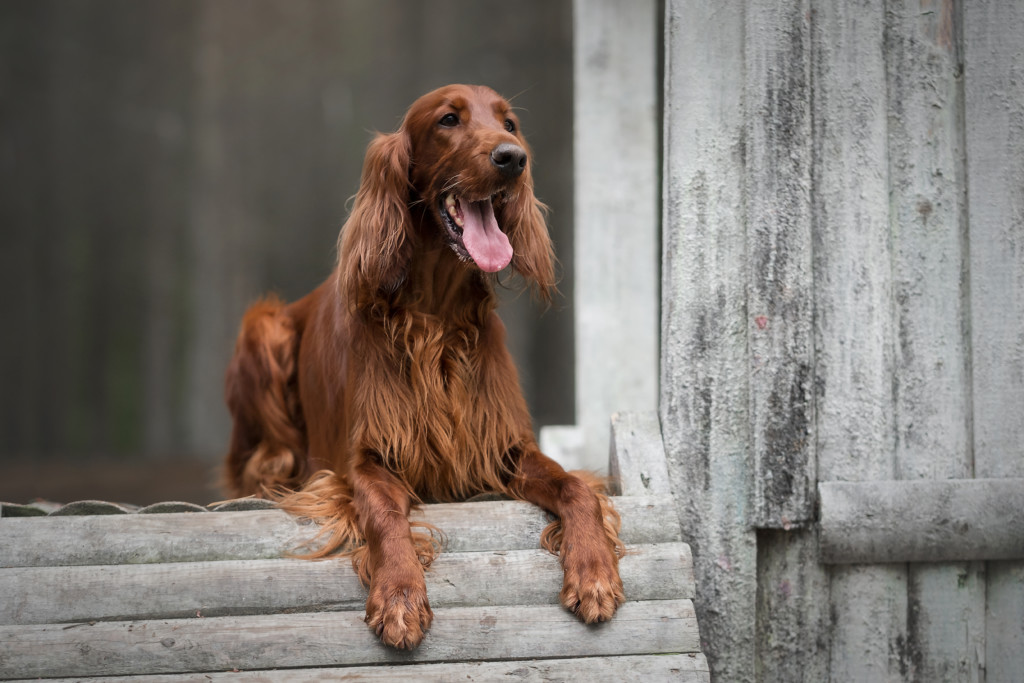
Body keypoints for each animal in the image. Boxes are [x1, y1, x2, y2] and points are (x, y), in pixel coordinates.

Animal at [224, 85, 622, 651]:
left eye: (510, 124)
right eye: (448, 120)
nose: (513, 158)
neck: (435, 315)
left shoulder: (506, 449)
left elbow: (575, 486)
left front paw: (593, 571)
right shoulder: (365, 458)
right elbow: (383, 513)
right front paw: (400, 594)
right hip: (261, 327)